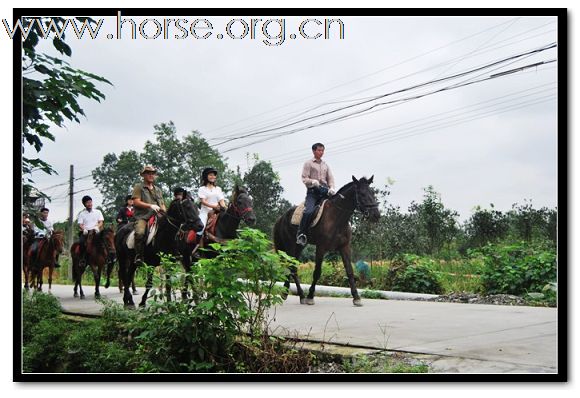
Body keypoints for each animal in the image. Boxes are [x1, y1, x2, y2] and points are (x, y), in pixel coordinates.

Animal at [274, 176, 380, 306]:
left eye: (372, 193)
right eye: (362, 194)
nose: (376, 215)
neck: (337, 218)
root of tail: (282, 217)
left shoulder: (345, 247)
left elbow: (349, 271)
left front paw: (356, 297)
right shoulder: (321, 247)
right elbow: (317, 272)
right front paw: (310, 296)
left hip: (299, 246)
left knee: (293, 267)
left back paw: (295, 294)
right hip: (290, 245)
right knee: (291, 267)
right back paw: (295, 294)